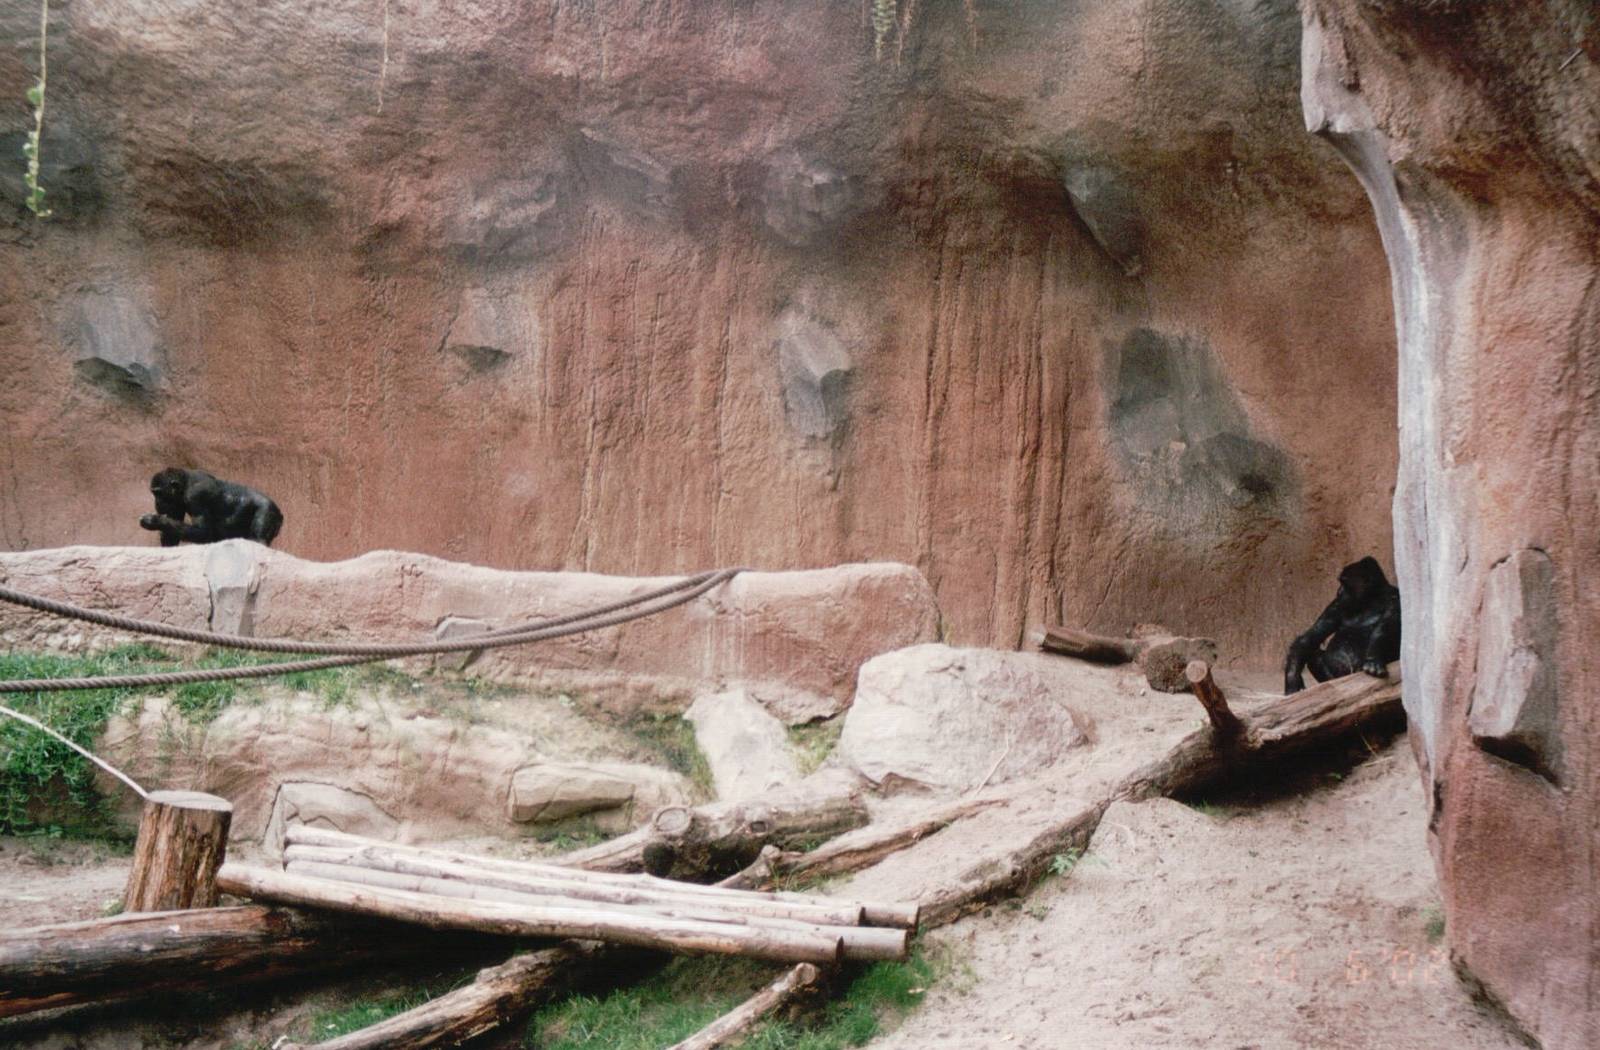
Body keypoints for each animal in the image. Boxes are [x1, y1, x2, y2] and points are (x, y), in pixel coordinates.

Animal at [139, 468, 283, 547]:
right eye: (154, 493)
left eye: (158, 493)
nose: (157, 502)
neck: (184, 484)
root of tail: (281, 515)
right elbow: (172, 531)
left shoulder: (195, 496)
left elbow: (202, 531)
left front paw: (154, 521)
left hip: (267, 510)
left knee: (259, 537)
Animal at [1283, 556, 1401, 695]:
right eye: (1341, 582)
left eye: (1344, 583)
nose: (1339, 591)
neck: (1370, 599)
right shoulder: (1336, 605)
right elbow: (1309, 638)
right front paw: (1292, 680)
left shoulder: (1394, 597)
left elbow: (1387, 627)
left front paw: (1373, 660)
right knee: (1314, 653)